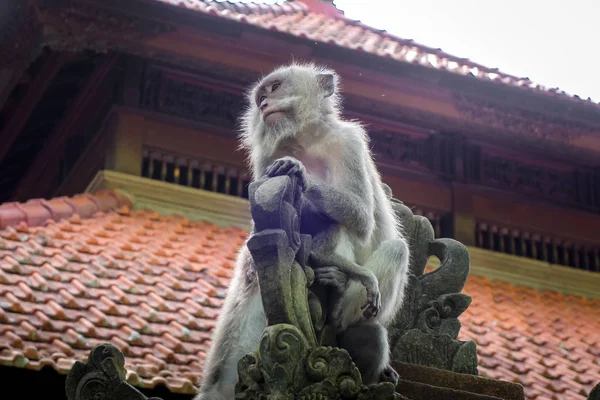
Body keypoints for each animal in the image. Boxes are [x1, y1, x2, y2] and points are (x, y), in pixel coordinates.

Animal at [195, 63, 410, 400]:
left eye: (275, 88)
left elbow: (361, 217)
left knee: (387, 248)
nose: (264, 104)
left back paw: (339, 309)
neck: (302, 141)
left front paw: (301, 173)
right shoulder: (265, 160)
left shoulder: (348, 143)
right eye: (260, 96)